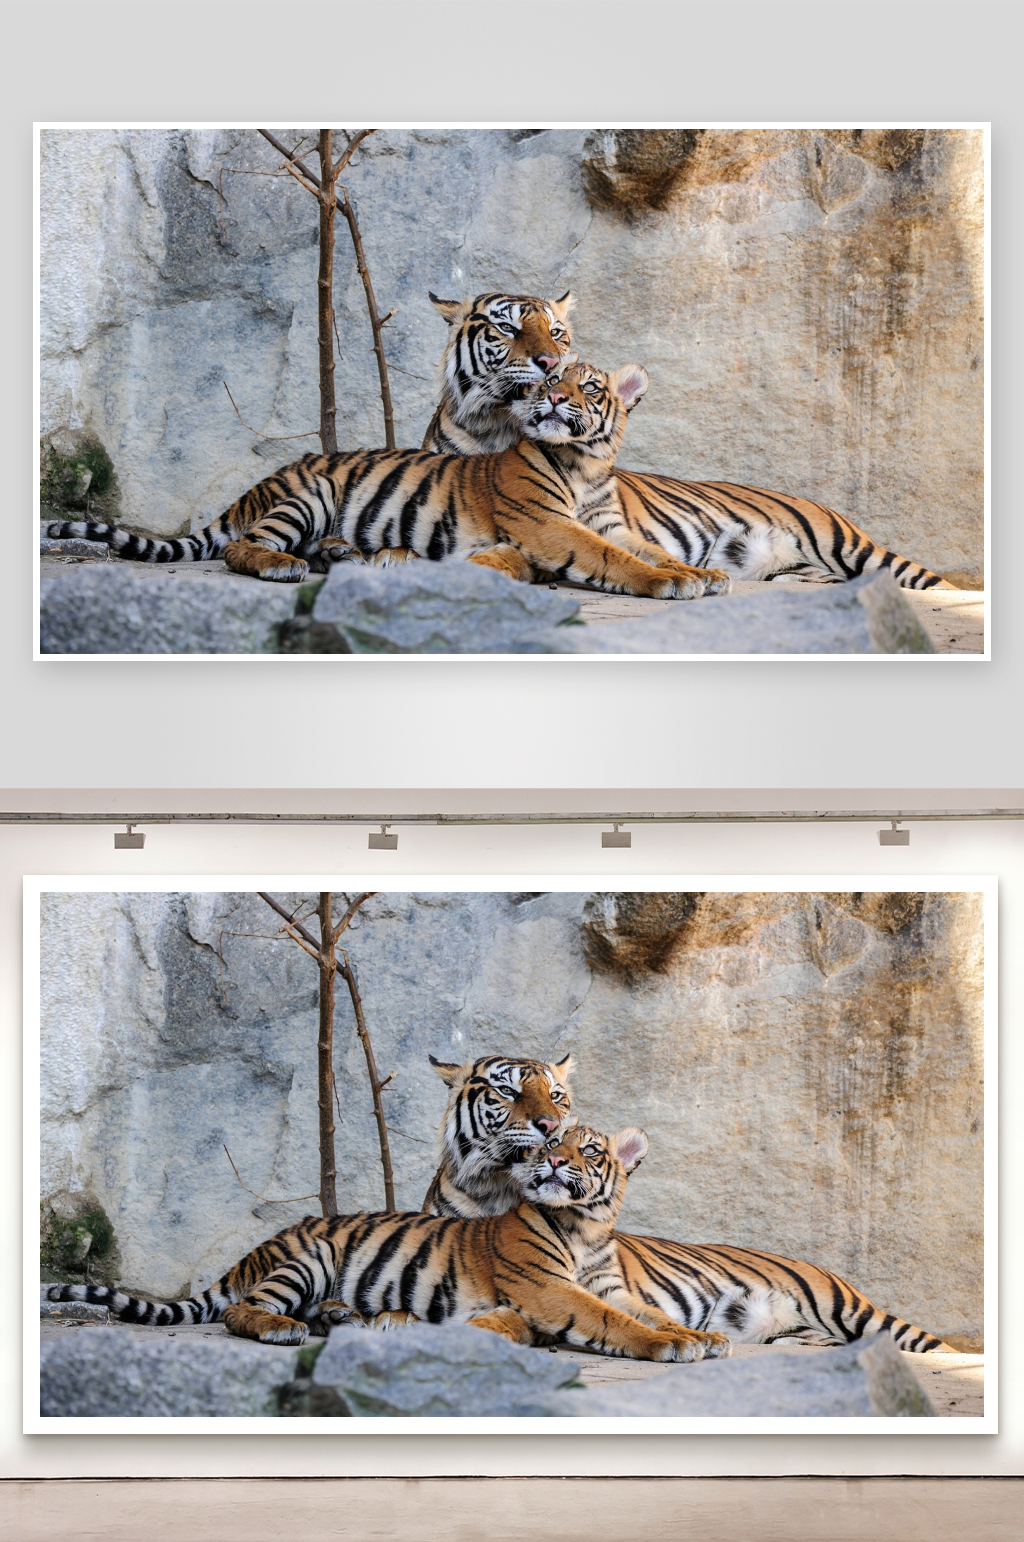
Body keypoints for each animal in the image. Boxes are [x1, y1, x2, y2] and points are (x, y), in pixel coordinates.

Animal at [47, 367, 726, 601]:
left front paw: (704, 572)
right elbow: (614, 557)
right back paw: (284, 566)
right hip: (309, 495)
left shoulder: (606, 523)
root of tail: (260, 484)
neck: (586, 465)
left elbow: (645, 547)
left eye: (587, 387)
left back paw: (349, 555)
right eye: (548, 381)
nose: (554, 398)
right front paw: (673, 582)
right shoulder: (549, 525)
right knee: (242, 547)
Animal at [47, 1123, 730, 1364]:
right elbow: (617, 1322)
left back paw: (348, 1318)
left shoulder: (605, 1287)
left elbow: (644, 1310)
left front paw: (703, 1335)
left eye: (585, 1148)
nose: (552, 1160)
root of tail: (265, 1244)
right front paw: (673, 1345)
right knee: (245, 1310)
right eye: (548, 1141)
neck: (587, 1227)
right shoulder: (551, 1289)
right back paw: (286, 1328)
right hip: (308, 1258)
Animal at [421, 1053, 951, 1354]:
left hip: (851, 1309)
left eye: (558, 1096)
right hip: (804, 1333)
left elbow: (643, 1316)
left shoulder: (604, 1289)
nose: (549, 1134)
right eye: (506, 1089)